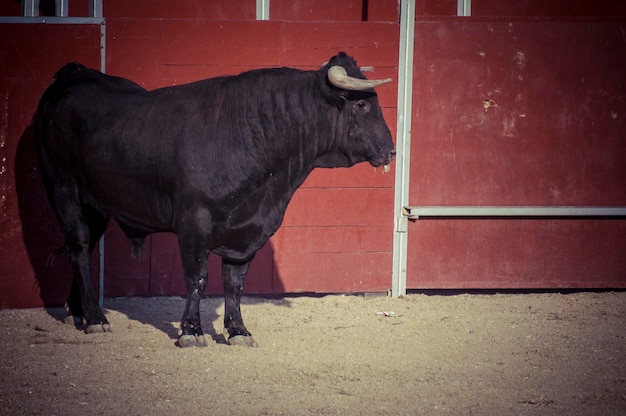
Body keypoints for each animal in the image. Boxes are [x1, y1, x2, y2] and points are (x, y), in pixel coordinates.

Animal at [34, 50, 392, 346]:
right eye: (361, 104)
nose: (391, 150)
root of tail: (74, 73)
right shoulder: (194, 223)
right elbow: (198, 278)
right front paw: (191, 331)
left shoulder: (248, 230)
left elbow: (235, 283)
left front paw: (238, 331)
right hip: (64, 189)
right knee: (79, 247)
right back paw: (95, 318)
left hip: (96, 205)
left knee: (84, 248)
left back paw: (80, 312)